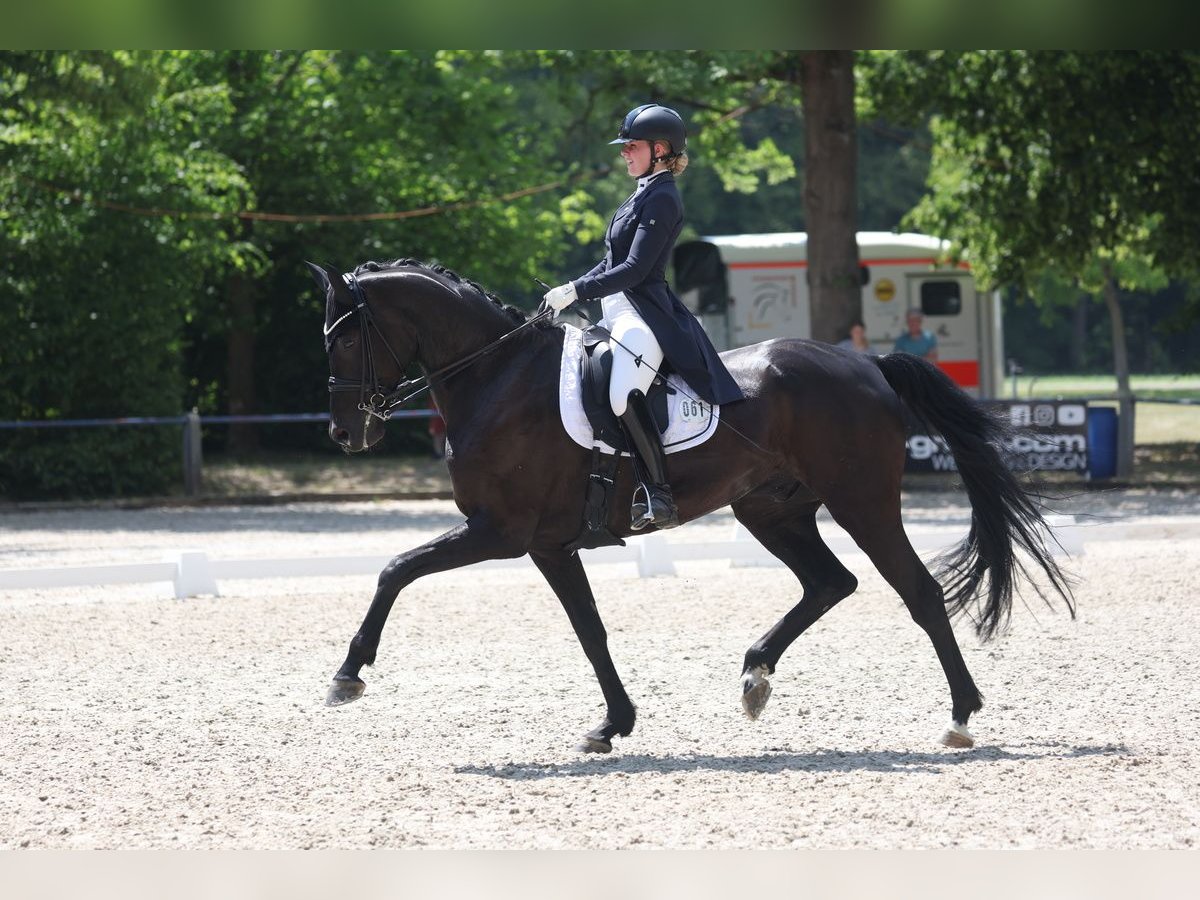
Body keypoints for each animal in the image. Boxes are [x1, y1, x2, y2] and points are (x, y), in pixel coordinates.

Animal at [304, 259, 1075, 753]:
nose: (346, 434)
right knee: (830, 582)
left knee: (917, 592)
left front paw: (347, 676)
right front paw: (612, 724)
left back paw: (961, 717)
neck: (498, 377)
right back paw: (756, 676)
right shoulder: (547, 544)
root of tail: (865, 363)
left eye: (348, 335)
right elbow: (590, 631)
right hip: (771, 510)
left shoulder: (500, 531)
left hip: (864, 502)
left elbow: (396, 570)